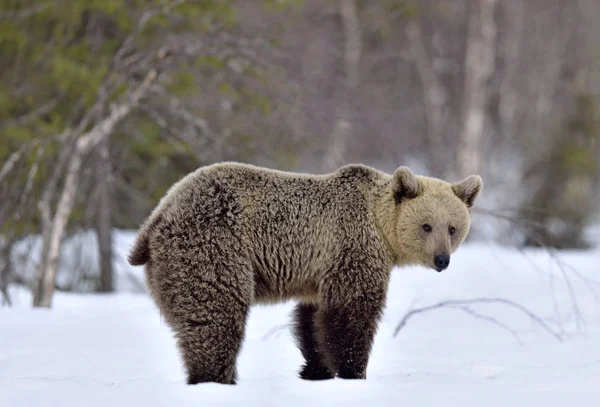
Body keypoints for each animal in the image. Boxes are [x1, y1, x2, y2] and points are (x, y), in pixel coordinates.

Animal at [127, 163, 482, 386]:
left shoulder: (317, 270)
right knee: (216, 316)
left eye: (453, 228)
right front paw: (354, 371)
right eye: (427, 225)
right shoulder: (352, 247)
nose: (441, 259)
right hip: (213, 246)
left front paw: (317, 369)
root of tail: (157, 215)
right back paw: (215, 378)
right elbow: (352, 313)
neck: (382, 229)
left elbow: (312, 321)